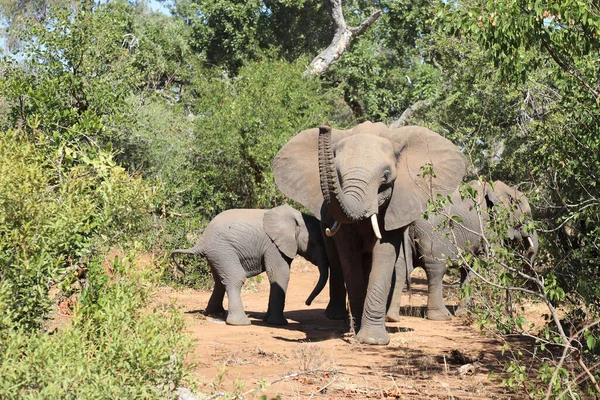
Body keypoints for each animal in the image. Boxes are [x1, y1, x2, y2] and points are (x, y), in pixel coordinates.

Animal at [169, 205, 328, 326]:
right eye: (314, 244)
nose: (307, 303)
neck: (295, 218)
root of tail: (201, 241)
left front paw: (268, 320)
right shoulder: (273, 245)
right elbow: (279, 275)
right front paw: (278, 323)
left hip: (216, 254)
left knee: (219, 281)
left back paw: (215, 314)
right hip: (223, 250)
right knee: (235, 278)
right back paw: (240, 323)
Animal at [274, 121, 466, 344]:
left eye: (385, 177)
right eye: (337, 176)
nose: (325, 127)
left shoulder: (395, 205)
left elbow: (384, 253)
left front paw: (372, 340)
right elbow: (349, 257)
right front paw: (357, 331)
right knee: (337, 263)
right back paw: (338, 318)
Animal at [386, 180, 540, 322]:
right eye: (526, 214)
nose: (529, 253)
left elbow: (469, 267)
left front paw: (465, 313)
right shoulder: (488, 227)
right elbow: (493, 264)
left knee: (400, 267)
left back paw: (392, 317)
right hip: (433, 237)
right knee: (436, 270)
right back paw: (442, 317)